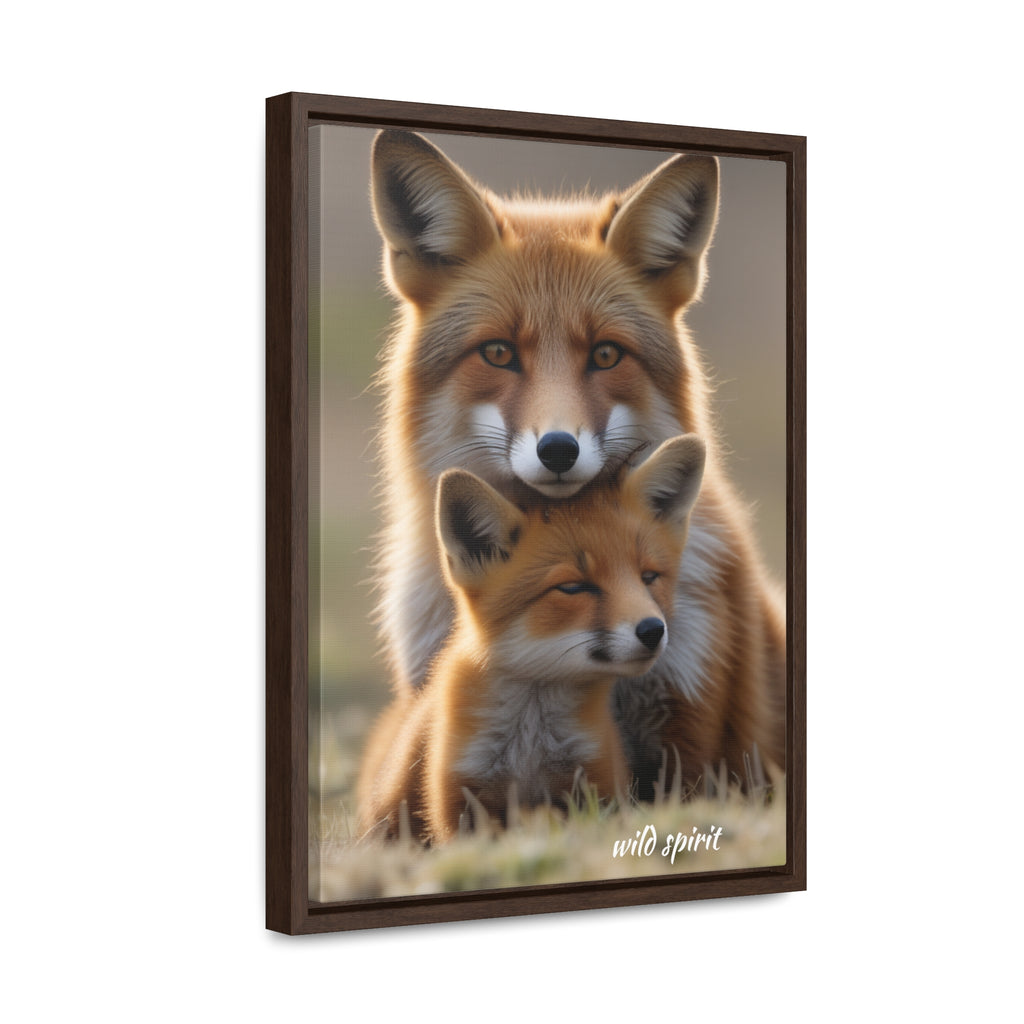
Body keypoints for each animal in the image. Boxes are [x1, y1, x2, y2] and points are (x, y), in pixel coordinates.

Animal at [357, 435, 707, 843]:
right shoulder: (458, 801)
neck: (530, 747)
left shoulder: (597, 783)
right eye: (573, 587)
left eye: (649, 577)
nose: (653, 630)